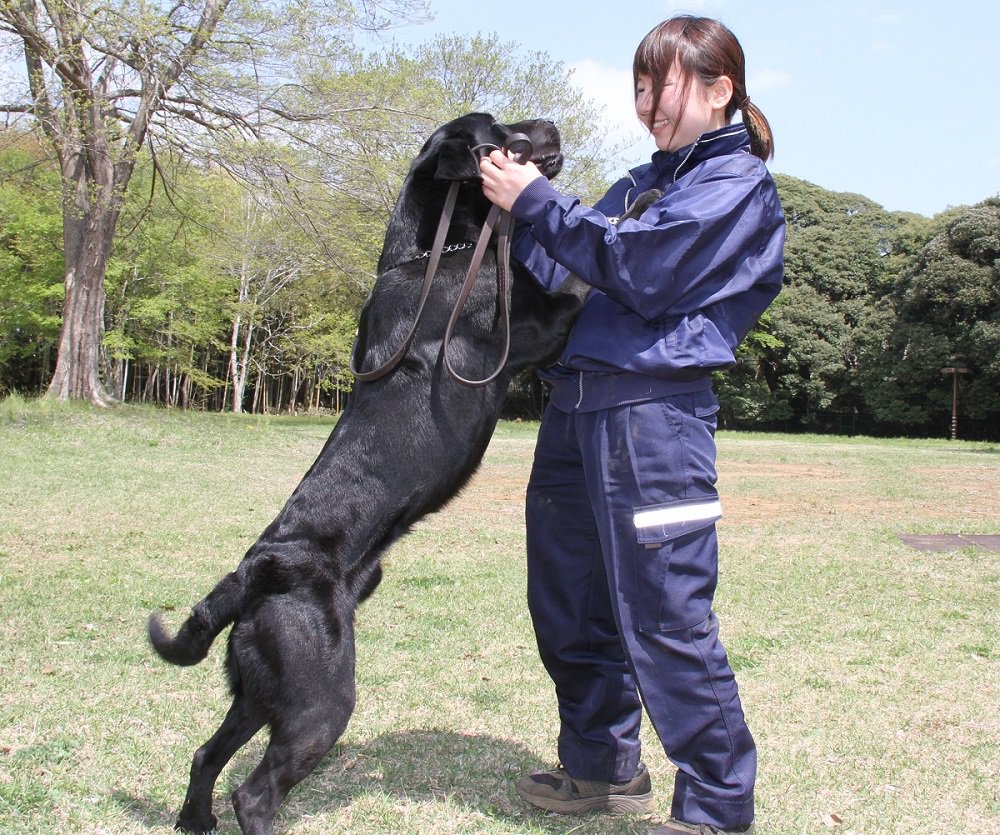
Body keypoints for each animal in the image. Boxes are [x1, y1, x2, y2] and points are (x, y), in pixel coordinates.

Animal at [148, 112, 584, 835]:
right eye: (500, 131)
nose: (548, 123)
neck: (435, 250)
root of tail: (253, 572)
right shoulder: (533, 327)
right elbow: (580, 285)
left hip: (262, 691)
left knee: (207, 752)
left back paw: (195, 820)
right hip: (318, 698)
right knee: (256, 792)